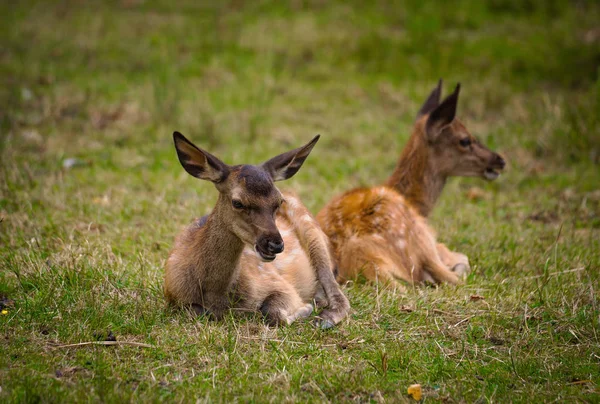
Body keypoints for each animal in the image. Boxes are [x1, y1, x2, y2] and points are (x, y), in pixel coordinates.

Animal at [165, 133, 352, 328]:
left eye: (279, 201)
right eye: (237, 202)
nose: (275, 244)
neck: (217, 296)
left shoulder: (279, 283)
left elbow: (272, 312)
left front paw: (305, 308)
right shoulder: (173, 295)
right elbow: (196, 311)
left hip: (314, 234)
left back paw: (324, 316)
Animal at [316, 79, 504, 288]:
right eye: (465, 140)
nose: (499, 160)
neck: (412, 200)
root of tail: (368, 262)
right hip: (419, 239)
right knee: (451, 276)